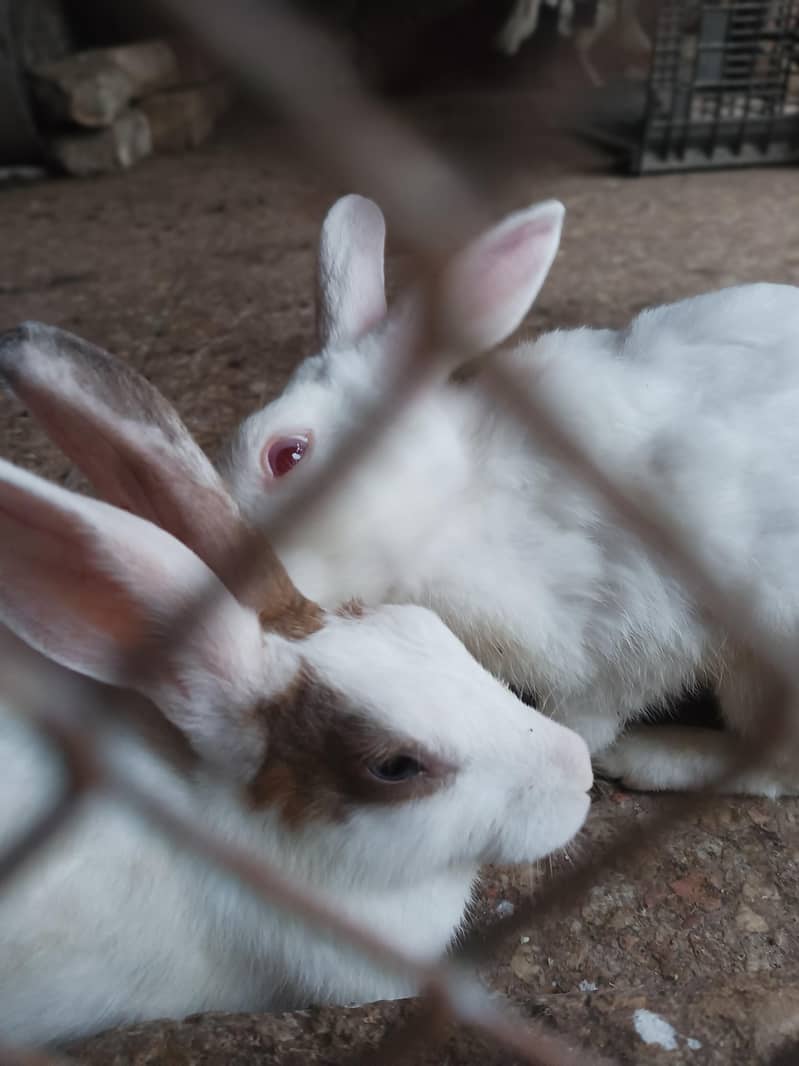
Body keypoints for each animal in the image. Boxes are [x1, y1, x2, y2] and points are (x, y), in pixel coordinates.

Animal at [224, 193, 799, 799]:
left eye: (286, 454)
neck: (454, 501)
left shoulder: (625, 633)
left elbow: (592, 713)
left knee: (773, 763)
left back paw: (654, 756)